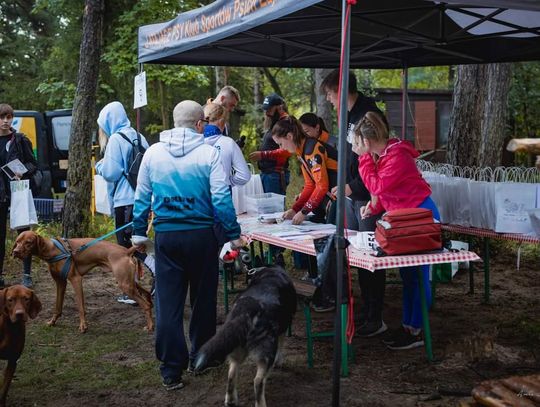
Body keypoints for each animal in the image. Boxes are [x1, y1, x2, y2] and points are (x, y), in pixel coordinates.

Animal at [11, 231, 154, 334]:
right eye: (17, 242)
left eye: (28, 242)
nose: (15, 252)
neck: (52, 250)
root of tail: (126, 250)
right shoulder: (60, 283)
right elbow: (57, 306)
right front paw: (52, 322)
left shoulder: (76, 279)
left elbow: (80, 306)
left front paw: (83, 326)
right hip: (129, 282)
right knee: (147, 293)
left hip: (125, 285)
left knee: (146, 304)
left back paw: (150, 326)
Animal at [194, 268, 296, 407]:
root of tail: (247, 309)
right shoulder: (282, 331)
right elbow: (281, 346)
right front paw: (279, 362)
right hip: (266, 355)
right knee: (258, 382)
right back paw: (260, 403)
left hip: (237, 350)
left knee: (231, 374)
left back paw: (230, 400)